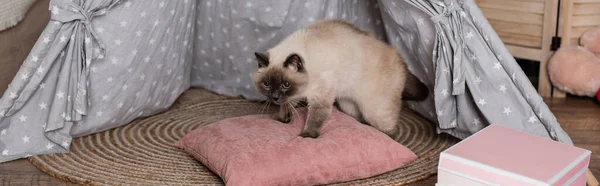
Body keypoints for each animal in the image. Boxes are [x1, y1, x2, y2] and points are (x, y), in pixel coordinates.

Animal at [251, 19, 428, 140]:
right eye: (266, 84)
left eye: (286, 84)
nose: (274, 97)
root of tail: (399, 57)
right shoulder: (296, 94)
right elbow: (287, 105)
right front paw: (283, 119)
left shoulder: (320, 99)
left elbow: (315, 119)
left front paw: (307, 136)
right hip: (348, 105)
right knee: (357, 117)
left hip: (375, 111)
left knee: (390, 130)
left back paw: (383, 137)